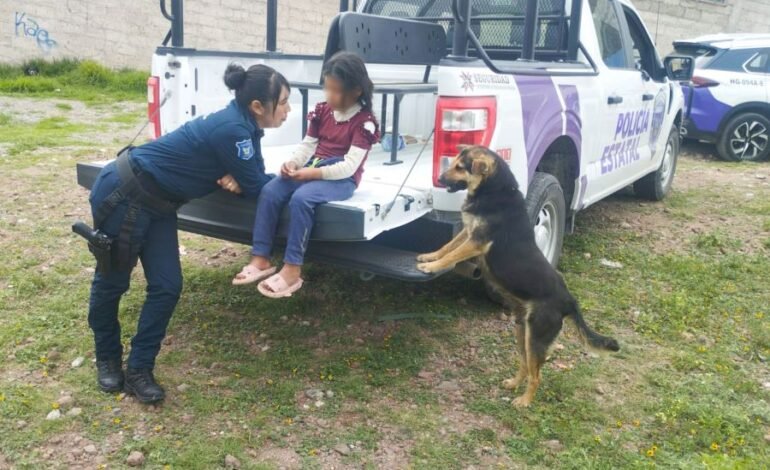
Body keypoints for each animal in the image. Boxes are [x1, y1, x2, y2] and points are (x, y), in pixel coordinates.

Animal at [416, 146, 619, 407]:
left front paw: (432, 267)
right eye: (452, 164)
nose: (440, 180)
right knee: (525, 365)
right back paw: (513, 384)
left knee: (537, 375)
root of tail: (569, 300)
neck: (493, 190)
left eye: (461, 168)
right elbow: (446, 247)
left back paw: (524, 401)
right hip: (522, 332)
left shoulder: (476, 241)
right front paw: (429, 257)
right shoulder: (468, 232)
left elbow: (451, 255)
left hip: (536, 337)